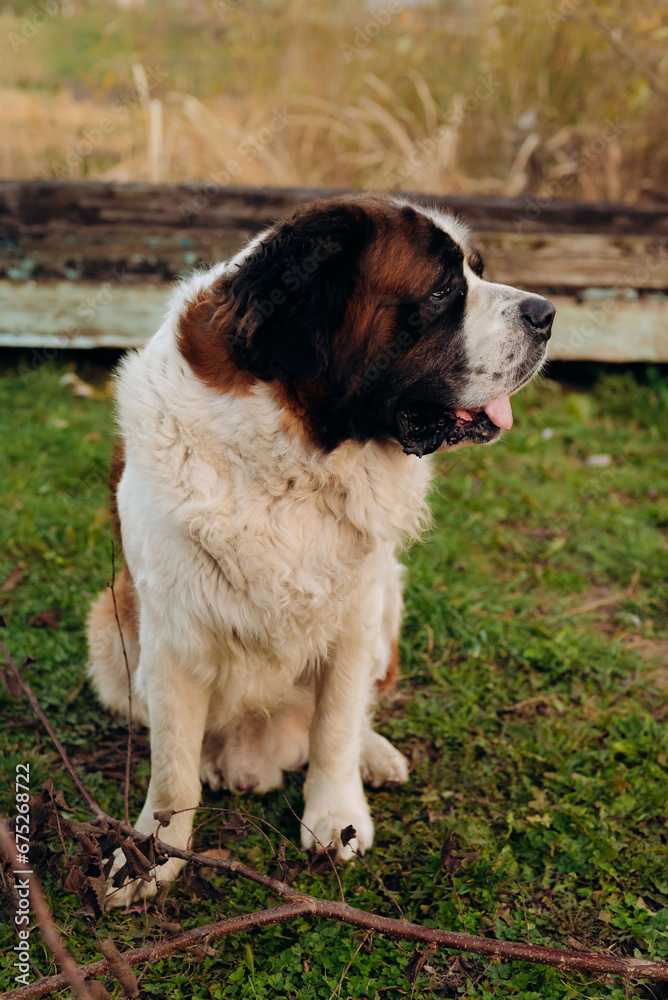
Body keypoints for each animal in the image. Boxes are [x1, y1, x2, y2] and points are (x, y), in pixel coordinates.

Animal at [86, 191, 552, 904]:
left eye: (477, 271)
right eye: (443, 289)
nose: (547, 314)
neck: (300, 456)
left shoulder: (355, 617)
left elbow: (334, 729)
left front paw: (338, 819)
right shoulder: (170, 636)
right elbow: (172, 770)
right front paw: (150, 856)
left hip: (389, 599)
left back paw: (375, 754)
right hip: (110, 631)